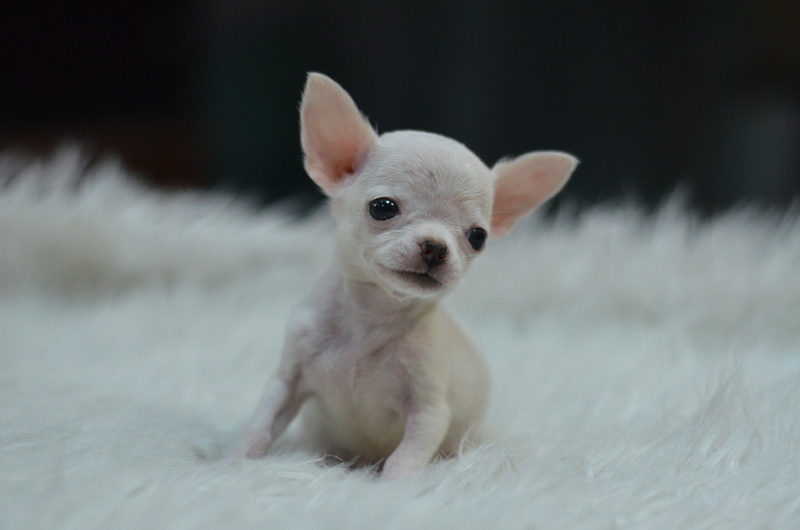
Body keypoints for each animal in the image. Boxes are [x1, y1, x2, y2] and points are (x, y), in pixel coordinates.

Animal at [238, 73, 577, 479]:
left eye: (478, 237)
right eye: (382, 208)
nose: (435, 247)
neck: (372, 317)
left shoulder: (429, 412)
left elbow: (404, 459)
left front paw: (392, 487)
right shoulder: (287, 381)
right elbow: (260, 426)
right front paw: (237, 464)